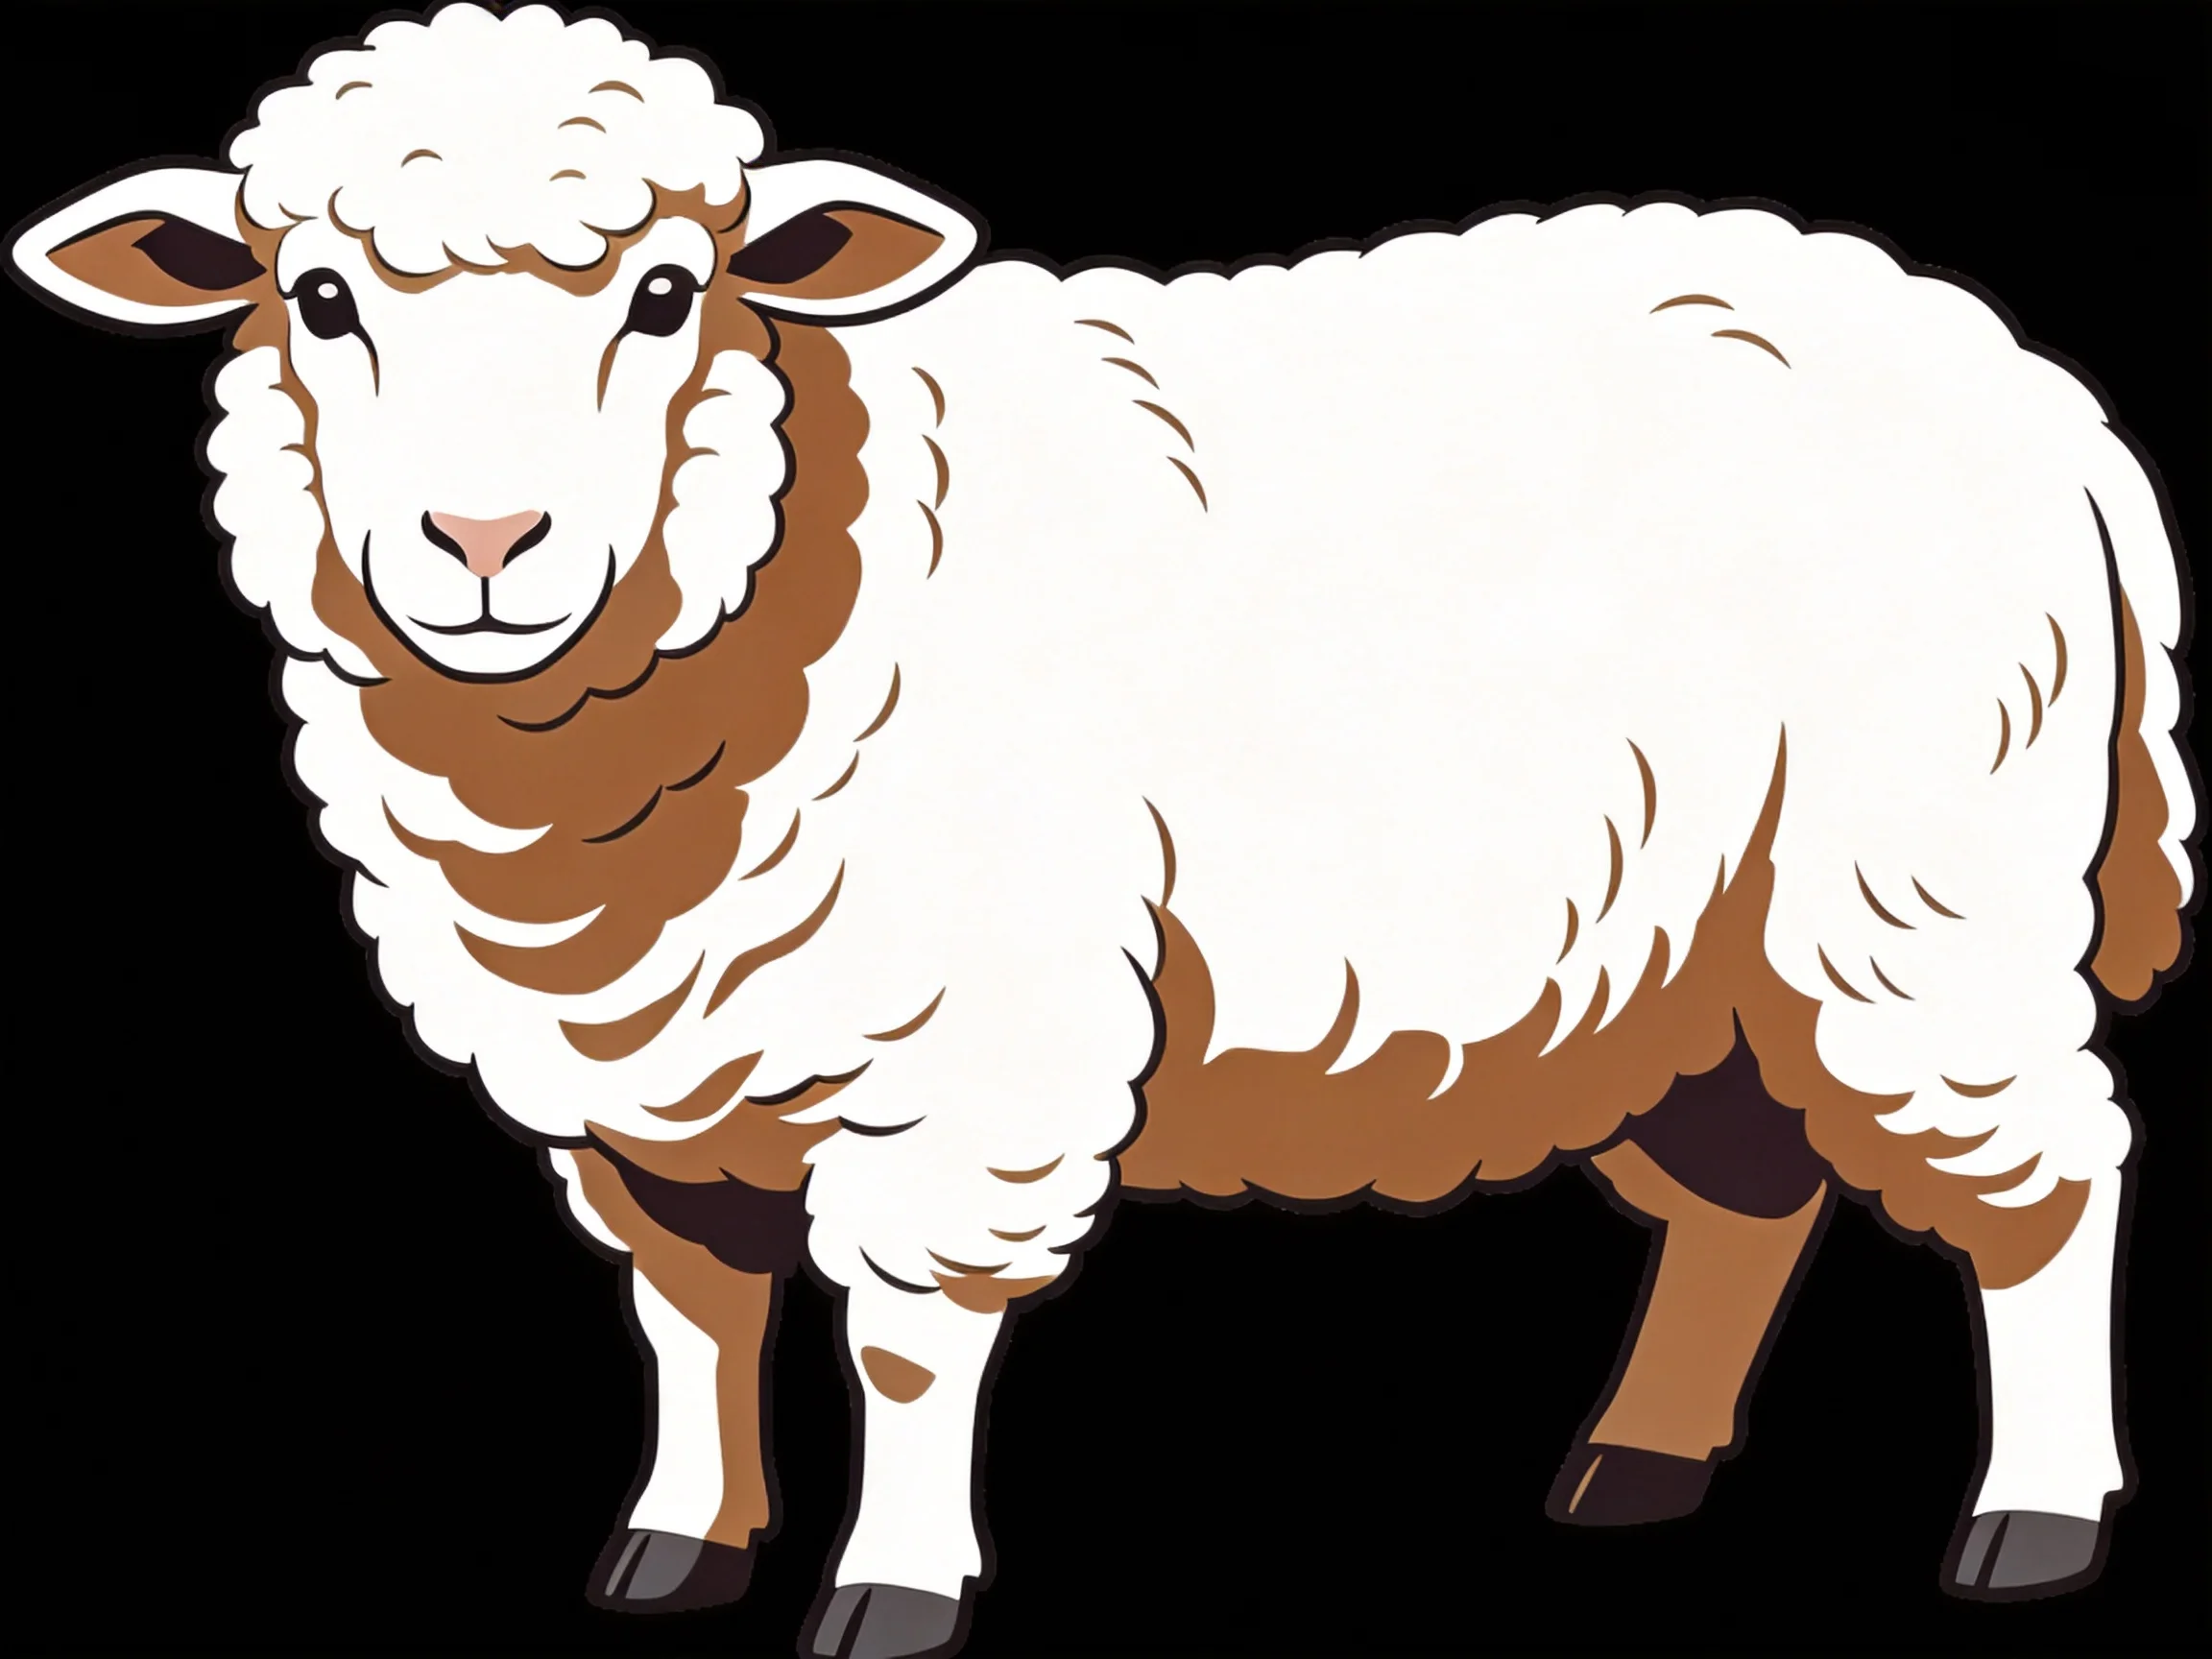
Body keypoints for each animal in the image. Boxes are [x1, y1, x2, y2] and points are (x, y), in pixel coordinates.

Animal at [7, 4, 2197, 1655]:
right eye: (315, 299)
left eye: (665, 294)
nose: (479, 544)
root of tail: (2029, 382)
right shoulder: (649, 1077)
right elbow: (692, 1317)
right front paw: (680, 1543)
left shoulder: (970, 1046)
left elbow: (902, 1345)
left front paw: (891, 1588)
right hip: (1693, 950)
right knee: (1746, 1195)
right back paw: (1637, 1463)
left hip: (1919, 884)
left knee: (2053, 1179)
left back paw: (2034, 1515)